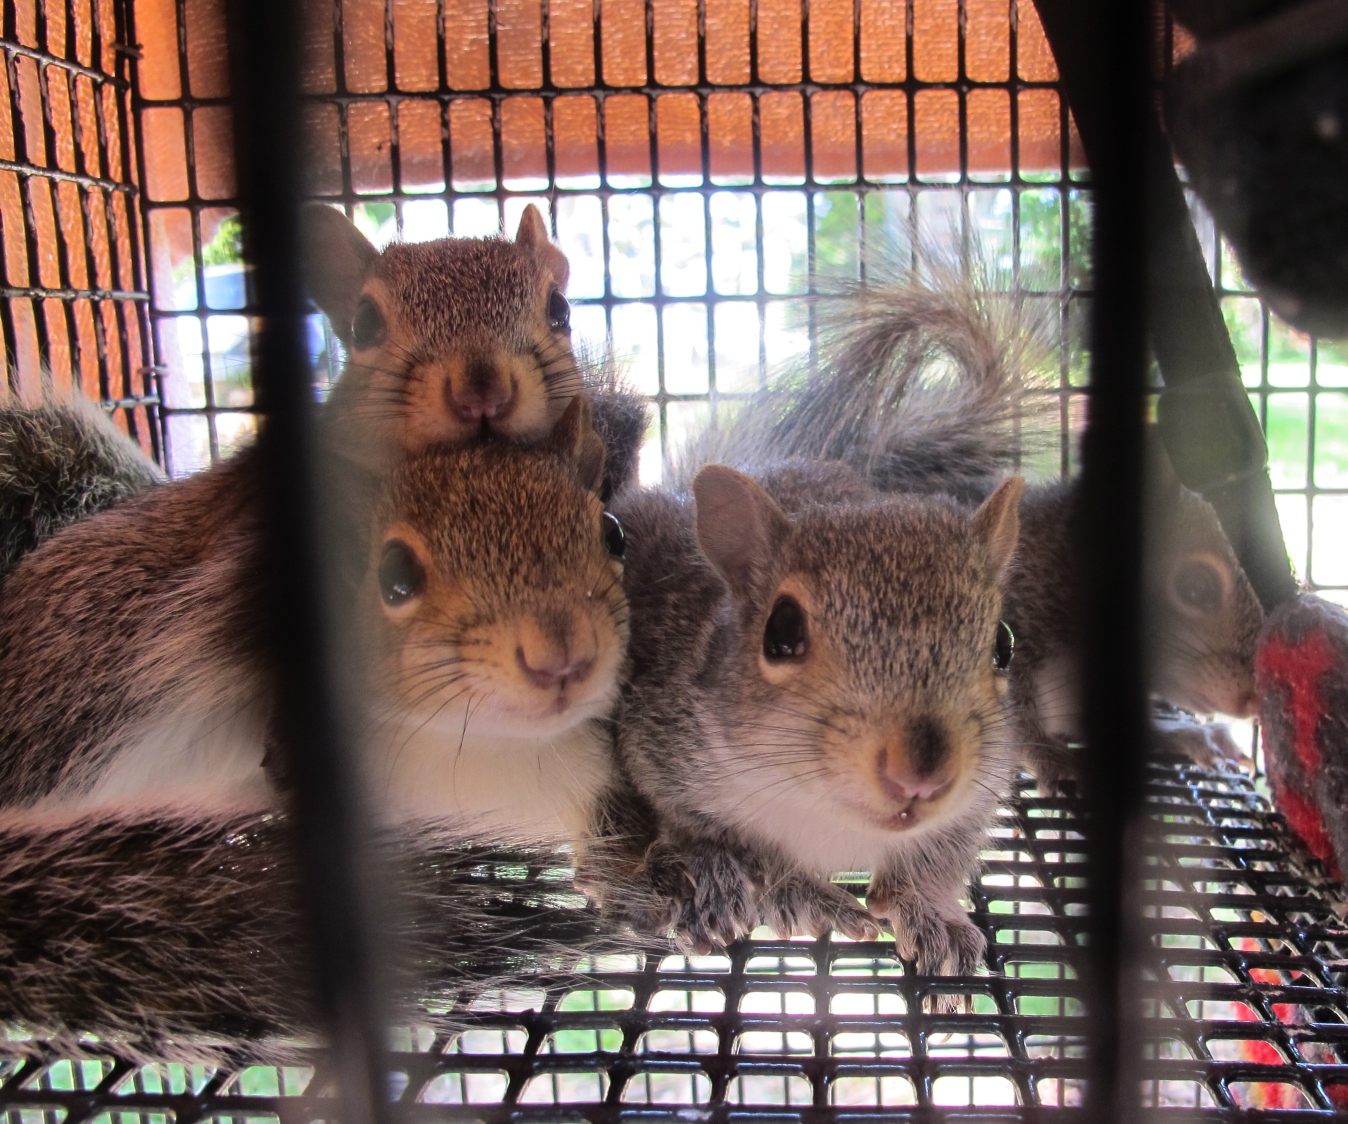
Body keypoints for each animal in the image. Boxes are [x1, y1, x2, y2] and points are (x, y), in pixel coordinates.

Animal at [579, 450, 1019, 975]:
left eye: (1004, 645)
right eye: (781, 630)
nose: (922, 777)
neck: (825, 811)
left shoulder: (977, 793)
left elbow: (937, 859)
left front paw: (931, 911)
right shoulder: (660, 747)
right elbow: (706, 832)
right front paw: (793, 892)